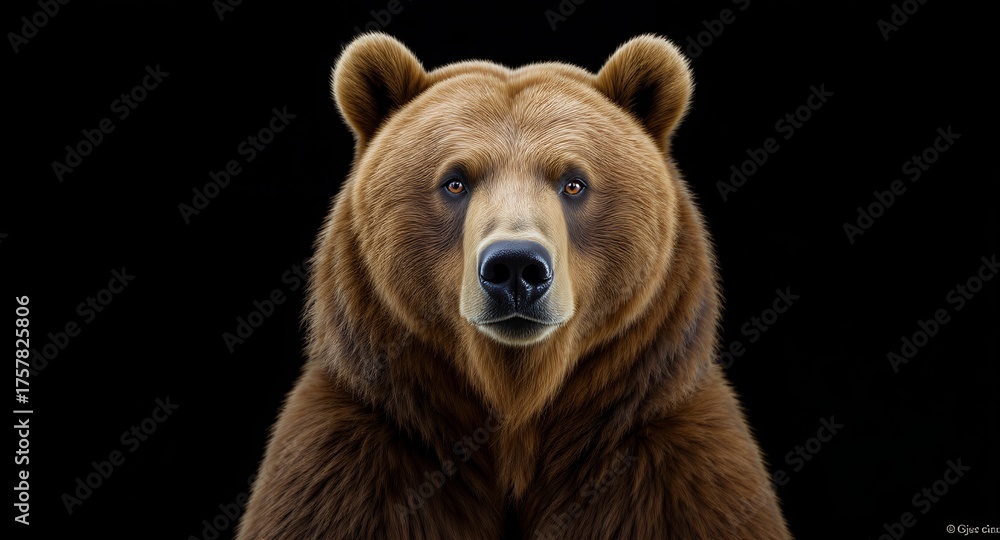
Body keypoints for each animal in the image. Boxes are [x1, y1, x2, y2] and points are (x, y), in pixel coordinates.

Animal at [237, 33, 791, 539]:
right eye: (455, 180)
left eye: (573, 182)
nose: (516, 267)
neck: (516, 411)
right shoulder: (357, 460)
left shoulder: (667, 463)